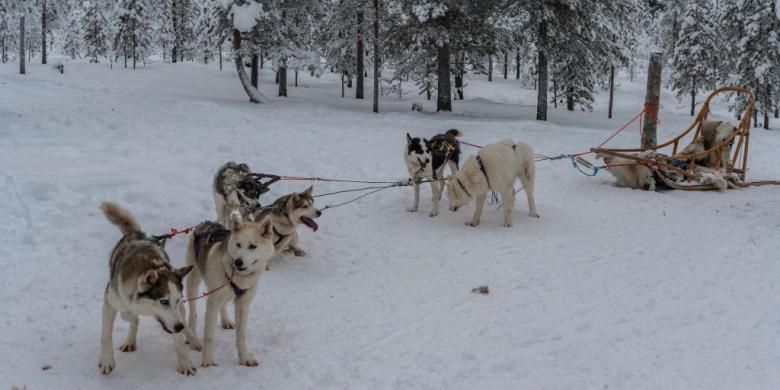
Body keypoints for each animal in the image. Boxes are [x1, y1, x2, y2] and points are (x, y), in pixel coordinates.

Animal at [97, 201, 200, 374]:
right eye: (163, 301)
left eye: (176, 300)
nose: (178, 326)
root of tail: (138, 234)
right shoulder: (110, 302)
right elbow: (107, 333)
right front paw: (106, 360)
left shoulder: (175, 313)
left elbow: (178, 338)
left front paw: (185, 362)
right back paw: (130, 340)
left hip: (180, 312)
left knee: (184, 321)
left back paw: (193, 339)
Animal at [184, 213, 276, 368]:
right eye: (238, 244)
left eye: (252, 246)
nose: (238, 262)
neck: (239, 277)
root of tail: (204, 223)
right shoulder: (212, 303)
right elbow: (209, 337)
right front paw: (208, 361)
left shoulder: (242, 304)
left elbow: (241, 336)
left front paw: (244, 358)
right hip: (193, 282)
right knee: (193, 313)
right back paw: (193, 336)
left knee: (223, 305)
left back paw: (226, 320)